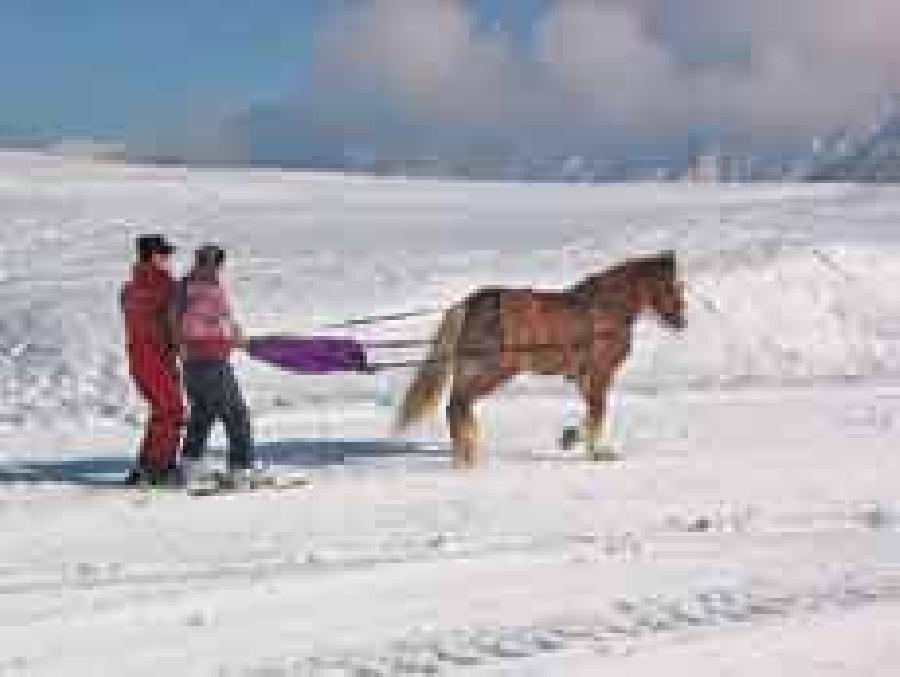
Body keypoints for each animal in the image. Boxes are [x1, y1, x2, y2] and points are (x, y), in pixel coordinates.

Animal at [398, 251, 684, 468]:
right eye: (672, 286)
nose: (681, 321)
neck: (607, 309)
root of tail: (471, 304)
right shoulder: (600, 373)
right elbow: (597, 412)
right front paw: (590, 450)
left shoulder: (585, 377)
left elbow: (592, 412)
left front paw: (572, 439)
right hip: (496, 369)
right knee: (458, 404)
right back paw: (467, 456)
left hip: (472, 367)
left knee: (457, 405)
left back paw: (466, 453)